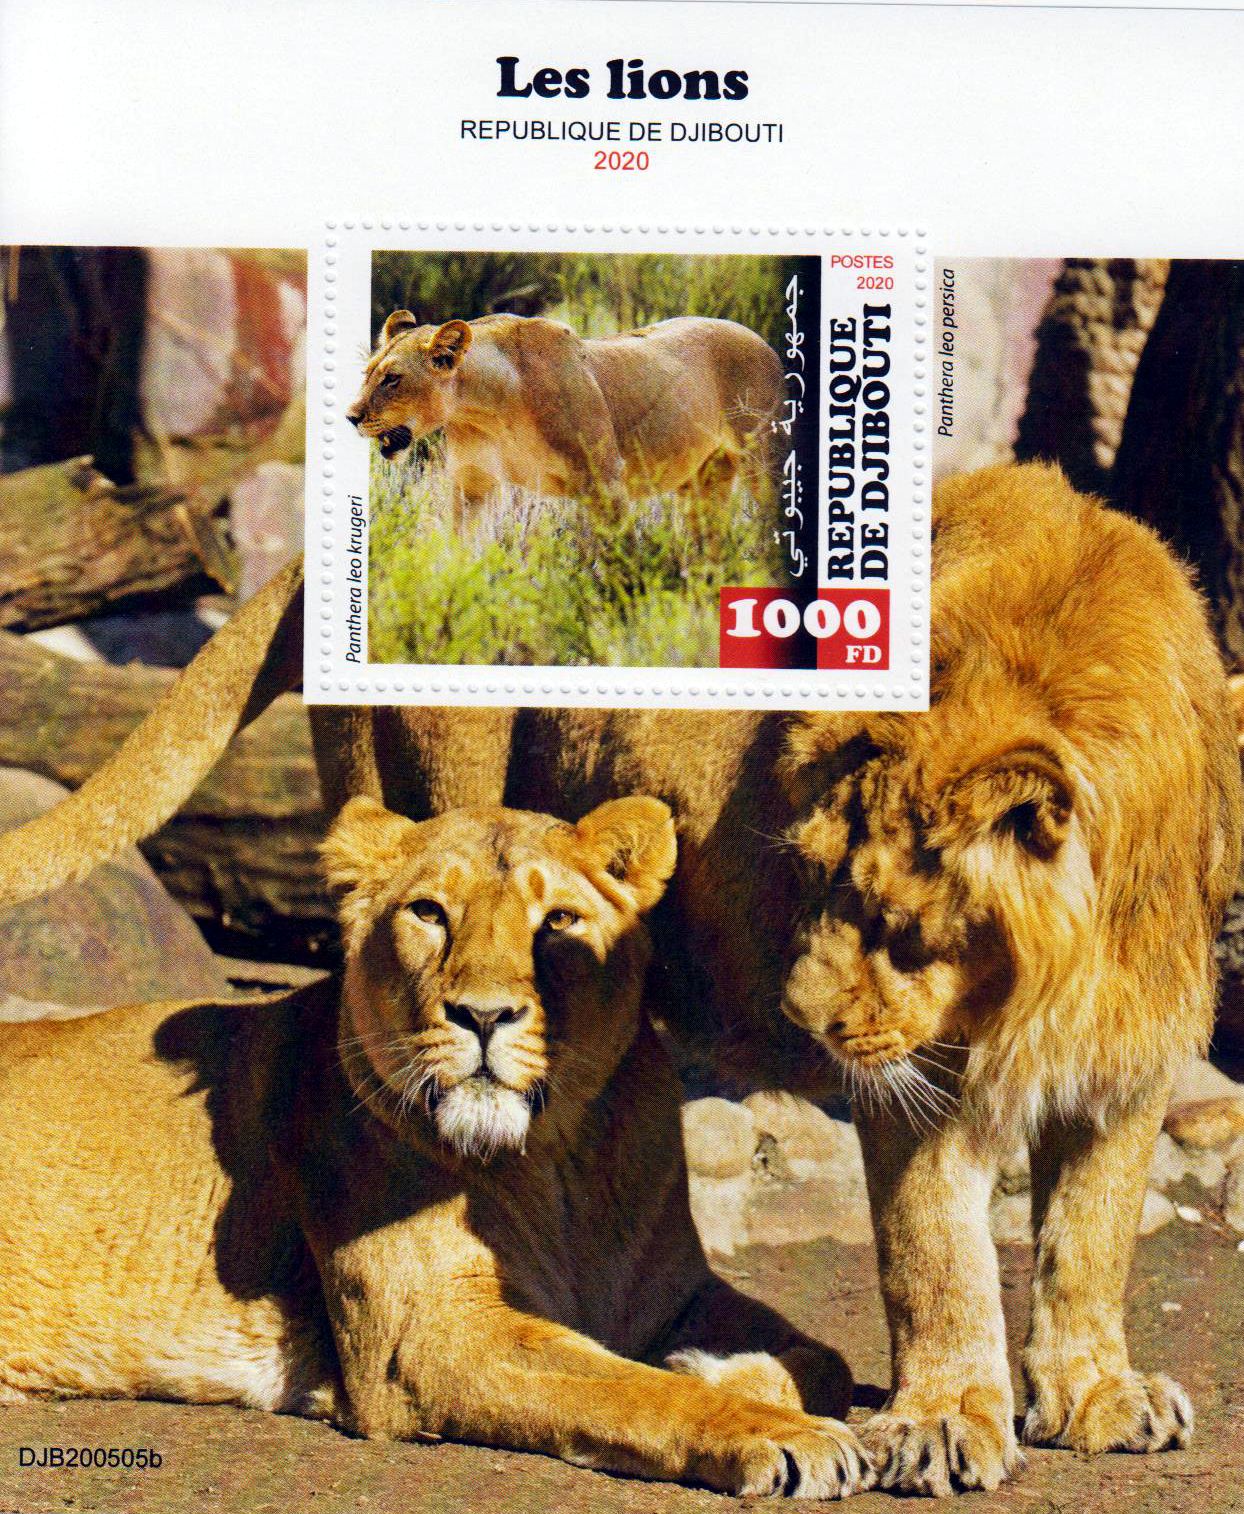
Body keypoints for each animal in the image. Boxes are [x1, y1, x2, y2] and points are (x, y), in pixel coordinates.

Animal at [0, 795, 872, 1498]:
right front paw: (773, 1429)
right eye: (429, 913)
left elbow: (825, 1357)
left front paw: (727, 1370)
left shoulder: (673, 1290)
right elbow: (629, 1389)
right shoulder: (426, 1338)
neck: (557, 1166)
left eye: (558, 921)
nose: (483, 1016)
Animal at [346, 311, 783, 527]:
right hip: (703, 481)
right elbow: (459, 553)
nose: (351, 417)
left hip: (764, 464)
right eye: (367, 372)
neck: (486, 408)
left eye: (392, 379)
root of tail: (761, 339)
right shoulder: (472, 487)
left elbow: (620, 559)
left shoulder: (604, 481)